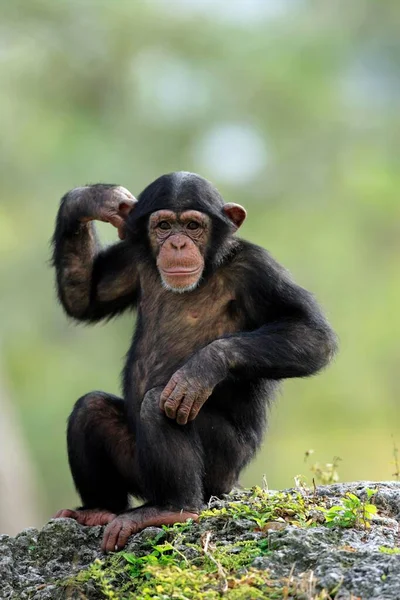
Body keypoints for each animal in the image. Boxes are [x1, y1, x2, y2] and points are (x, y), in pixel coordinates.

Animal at [51, 171, 336, 552]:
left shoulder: (258, 270)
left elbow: (311, 333)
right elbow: (85, 299)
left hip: (222, 470)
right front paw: (95, 200)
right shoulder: (131, 258)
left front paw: (200, 371)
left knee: (158, 404)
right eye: (164, 225)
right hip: (138, 470)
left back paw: (173, 509)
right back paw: (98, 510)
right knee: (91, 408)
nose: (176, 244)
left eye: (192, 225)